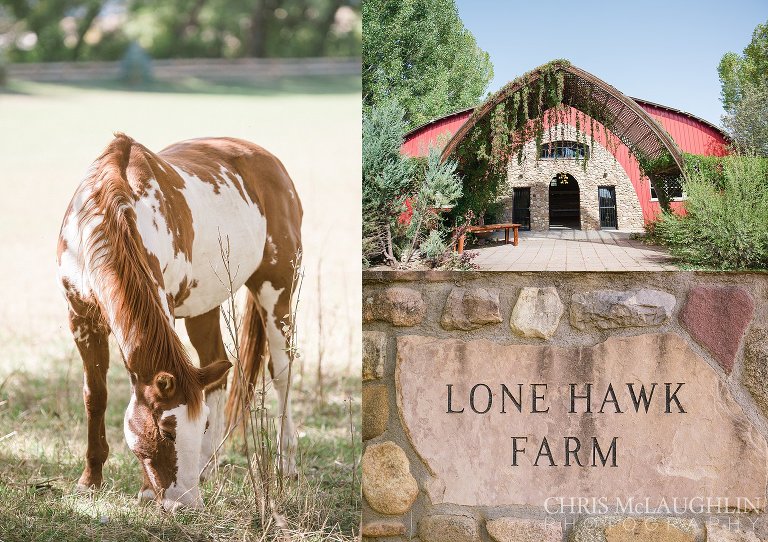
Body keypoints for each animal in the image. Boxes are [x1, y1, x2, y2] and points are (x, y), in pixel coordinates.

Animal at [57, 134, 302, 512]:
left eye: (200, 426)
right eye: (168, 431)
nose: (186, 504)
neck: (105, 212)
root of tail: (270, 162)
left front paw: (144, 489)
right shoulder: (81, 318)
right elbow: (95, 396)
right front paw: (89, 481)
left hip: (276, 292)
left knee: (281, 372)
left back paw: (285, 462)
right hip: (205, 306)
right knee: (218, 369)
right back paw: (208, 467)